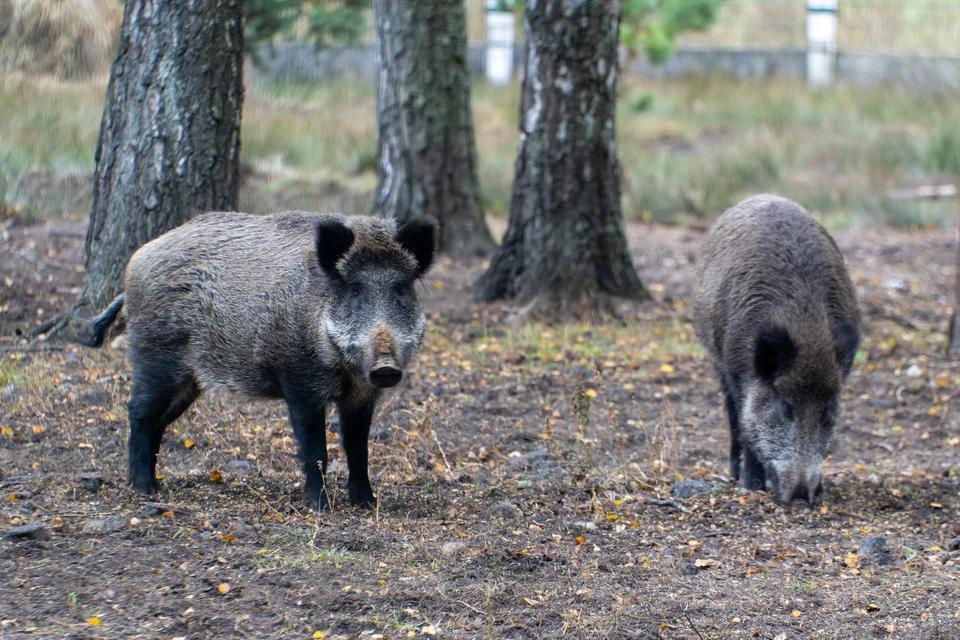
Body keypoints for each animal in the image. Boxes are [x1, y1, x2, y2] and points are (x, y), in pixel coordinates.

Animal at [81, 211, 438, 510]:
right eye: (354, 290)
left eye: (400, 289)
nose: (385, 366)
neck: (346, 370)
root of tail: (135, 265)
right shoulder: (299, 382)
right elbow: (315, 450)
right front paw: (319, 508)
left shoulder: (362, 396)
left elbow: (358, 448)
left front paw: (367, 504)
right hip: (155, 358)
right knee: (138, 413)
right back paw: (145, 490)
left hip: (188, 381)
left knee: (158, 422)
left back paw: (156, 486)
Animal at [693, 195, 860, 506]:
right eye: (786, 408)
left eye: (826, 411)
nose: (800, 498)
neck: (806, 329)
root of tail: (764, 196)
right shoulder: (737, 369)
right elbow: (746, 424)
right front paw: (751, 487)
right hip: (717, 358)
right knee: (732, 415)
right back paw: (734, 474)